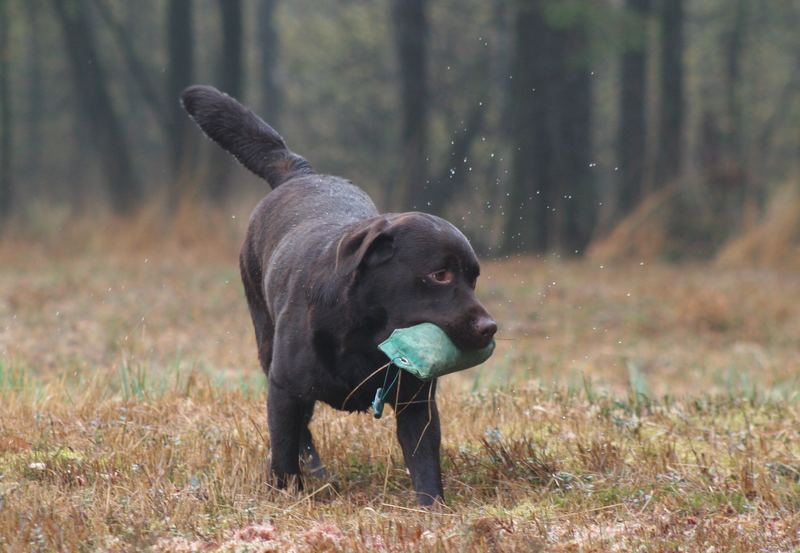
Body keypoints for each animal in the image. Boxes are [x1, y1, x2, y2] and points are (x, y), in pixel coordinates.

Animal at [181, 85, 494, 504]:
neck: (367, 333)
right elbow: (284, 450)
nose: (489, 327)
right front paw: (286, 495)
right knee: (300, 433)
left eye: (473, 277)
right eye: (439, 275)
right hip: (268, 347)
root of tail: (301, 172)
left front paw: (433, 508)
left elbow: (424, 460)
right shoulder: (285, 389)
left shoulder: (416, 402)